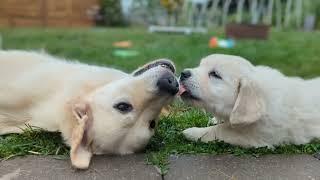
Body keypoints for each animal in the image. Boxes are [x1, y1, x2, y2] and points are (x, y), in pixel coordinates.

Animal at [179, 53, 320, 148]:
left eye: (215, 74)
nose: (183, 73)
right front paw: (215, 120)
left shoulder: (255, 134)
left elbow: (221, 130)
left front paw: (193, 132)